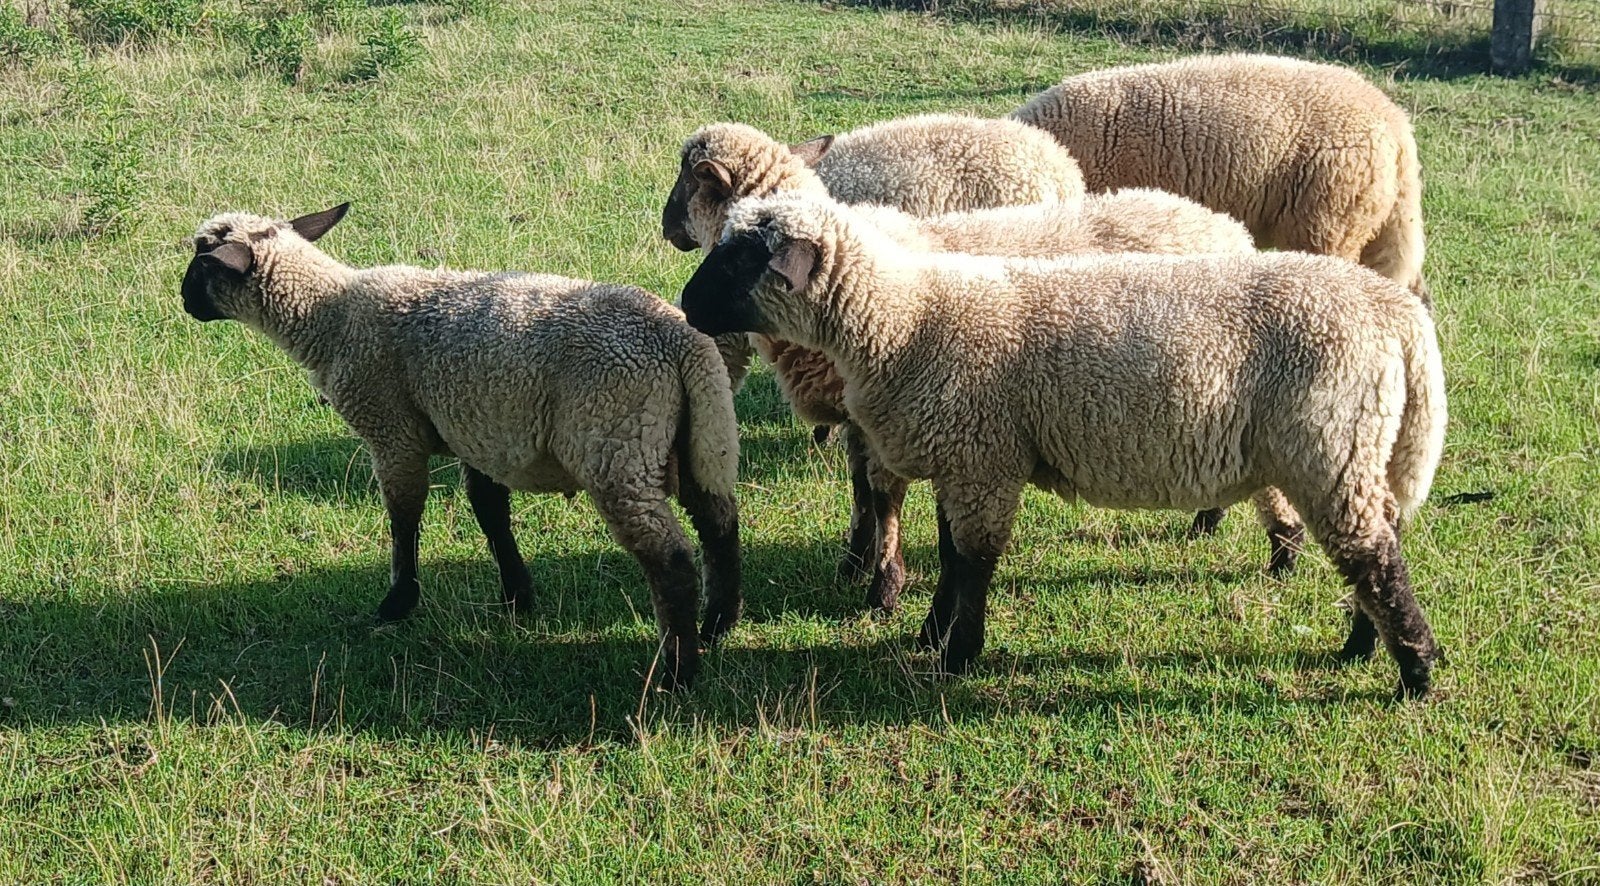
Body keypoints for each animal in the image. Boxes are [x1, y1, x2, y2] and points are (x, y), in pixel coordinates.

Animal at [180, 203, 741, 689]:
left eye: (202, 262)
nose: (183, 301)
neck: (332, 316)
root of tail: (680, 343)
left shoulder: (392, 430)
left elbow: (404, 516)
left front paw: (398, 602)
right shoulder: (481, 433)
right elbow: (489, 511)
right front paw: (516, 595)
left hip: (617, 443)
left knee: (671, 560)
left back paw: (678, 674)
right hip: (695, 439)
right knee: (719, 523)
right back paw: (717, 625)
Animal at [679, 192, 1447, 700]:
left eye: (743, 257)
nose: (685, 307)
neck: (907, 317)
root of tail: (1394, 313)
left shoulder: (984, 459)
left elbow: (975, 563)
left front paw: (958, 655)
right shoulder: (967, 457)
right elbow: (952, 557)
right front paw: (931, 634)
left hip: (1329, 443)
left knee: (1374, 560)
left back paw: (1413, 673)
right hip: (1355, 448)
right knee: (1376, 547)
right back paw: (1363, 646)